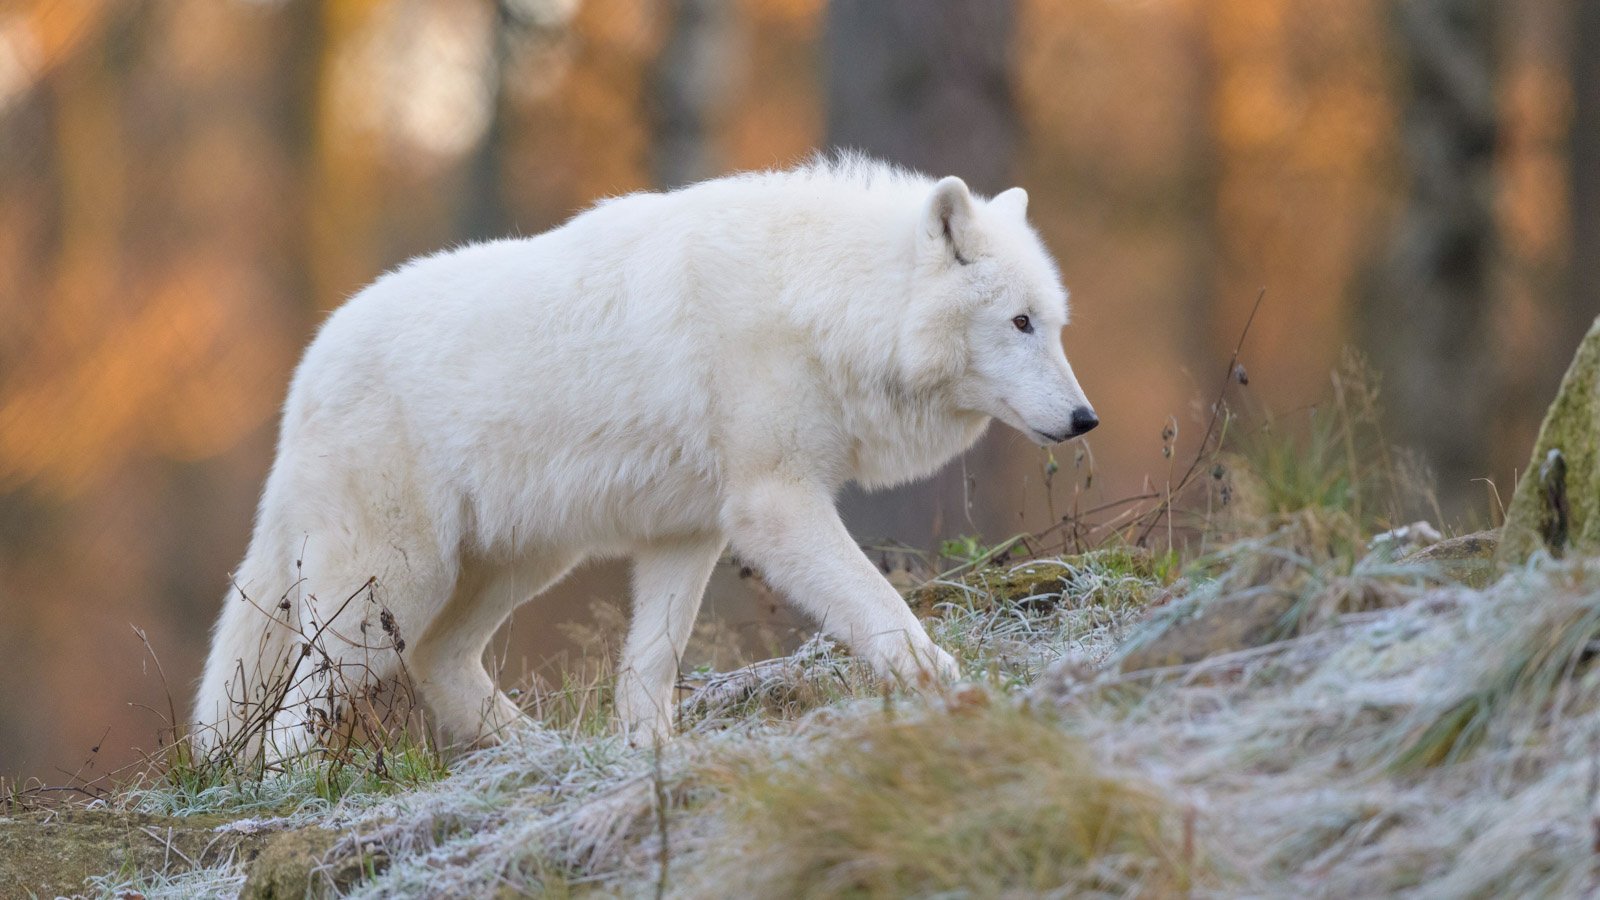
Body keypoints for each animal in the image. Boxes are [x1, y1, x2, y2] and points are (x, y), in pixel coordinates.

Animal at [193, 157, 1100, 752]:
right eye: (1019, 323)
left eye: (1055, 325)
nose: (1087, 419)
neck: (818, 301)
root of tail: (306, 371)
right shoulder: (776, 505)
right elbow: (883, 612)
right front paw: (954, 688)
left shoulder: (689, 533)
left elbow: (651, 661)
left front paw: (652, 753)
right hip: (396, 583)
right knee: (294, 714)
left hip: (513, 565)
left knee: (437, 660)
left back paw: (541, 752)